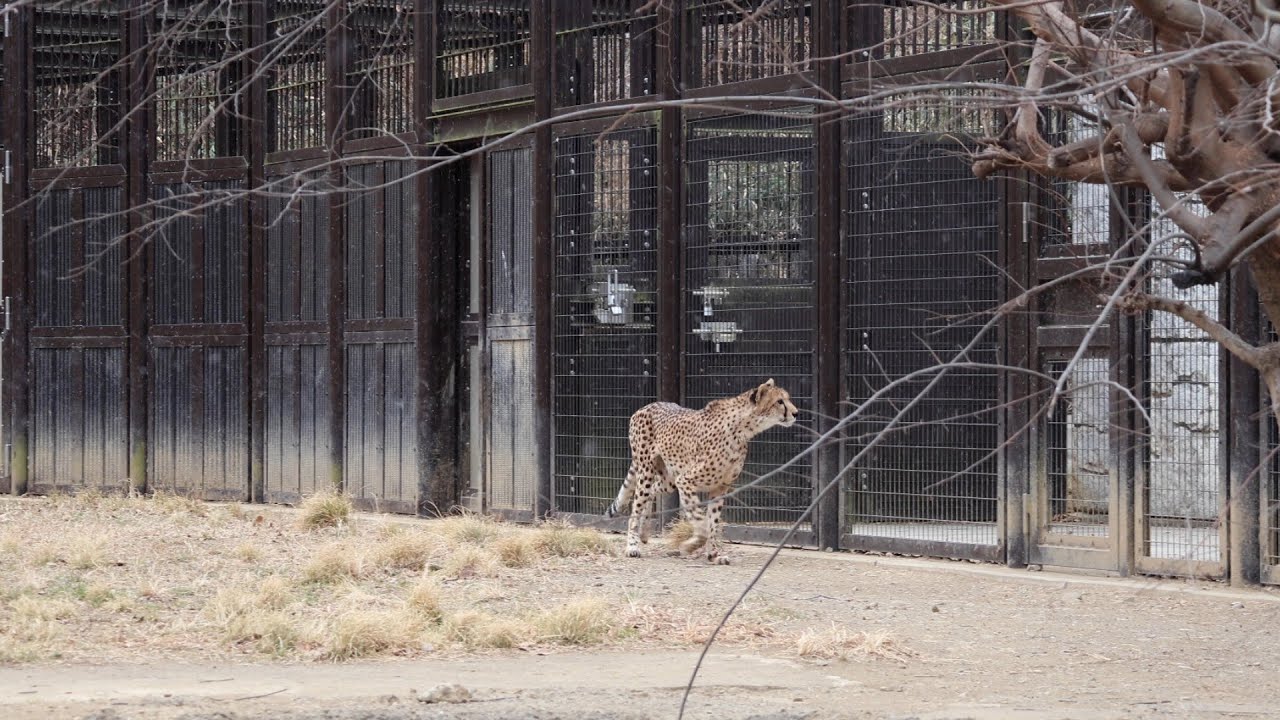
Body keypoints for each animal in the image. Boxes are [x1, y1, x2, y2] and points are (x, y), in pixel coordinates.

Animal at [603, 378, 798, 564]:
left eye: (787, 399)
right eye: (780, 401)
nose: (796, 413)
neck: (743, 429)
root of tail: (646, 406)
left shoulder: (719, 487)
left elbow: (713, 522)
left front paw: (713, 555)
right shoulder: (686, 480)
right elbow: (701, 522)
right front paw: (690, 546)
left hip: (668, 480)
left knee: (651, 492)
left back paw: (644, 533)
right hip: (647, 470)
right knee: (636, 506)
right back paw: (632, 546)